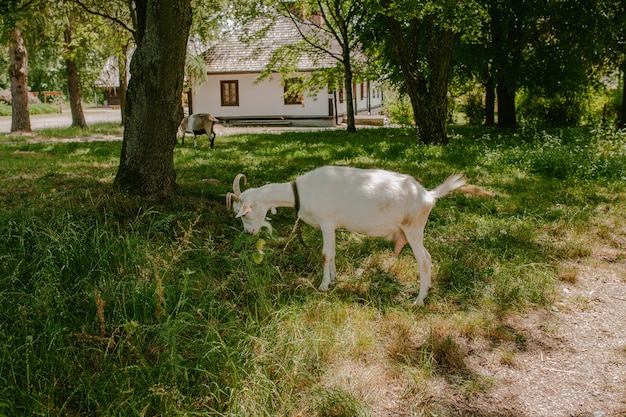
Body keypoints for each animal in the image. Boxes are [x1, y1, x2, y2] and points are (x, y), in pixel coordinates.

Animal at [227, 164, 466, 304]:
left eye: (245, 214)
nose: (249, 232)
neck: (303, 191)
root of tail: (429, 195)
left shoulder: (326, 222)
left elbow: (325, 254)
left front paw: (323, 286)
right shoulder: (332, 226)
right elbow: (332, 254)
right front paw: (333, 279)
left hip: (413, 229)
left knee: (423, 261)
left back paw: (419, 300)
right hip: (415, 231)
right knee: (429, 257)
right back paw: (428, 289)